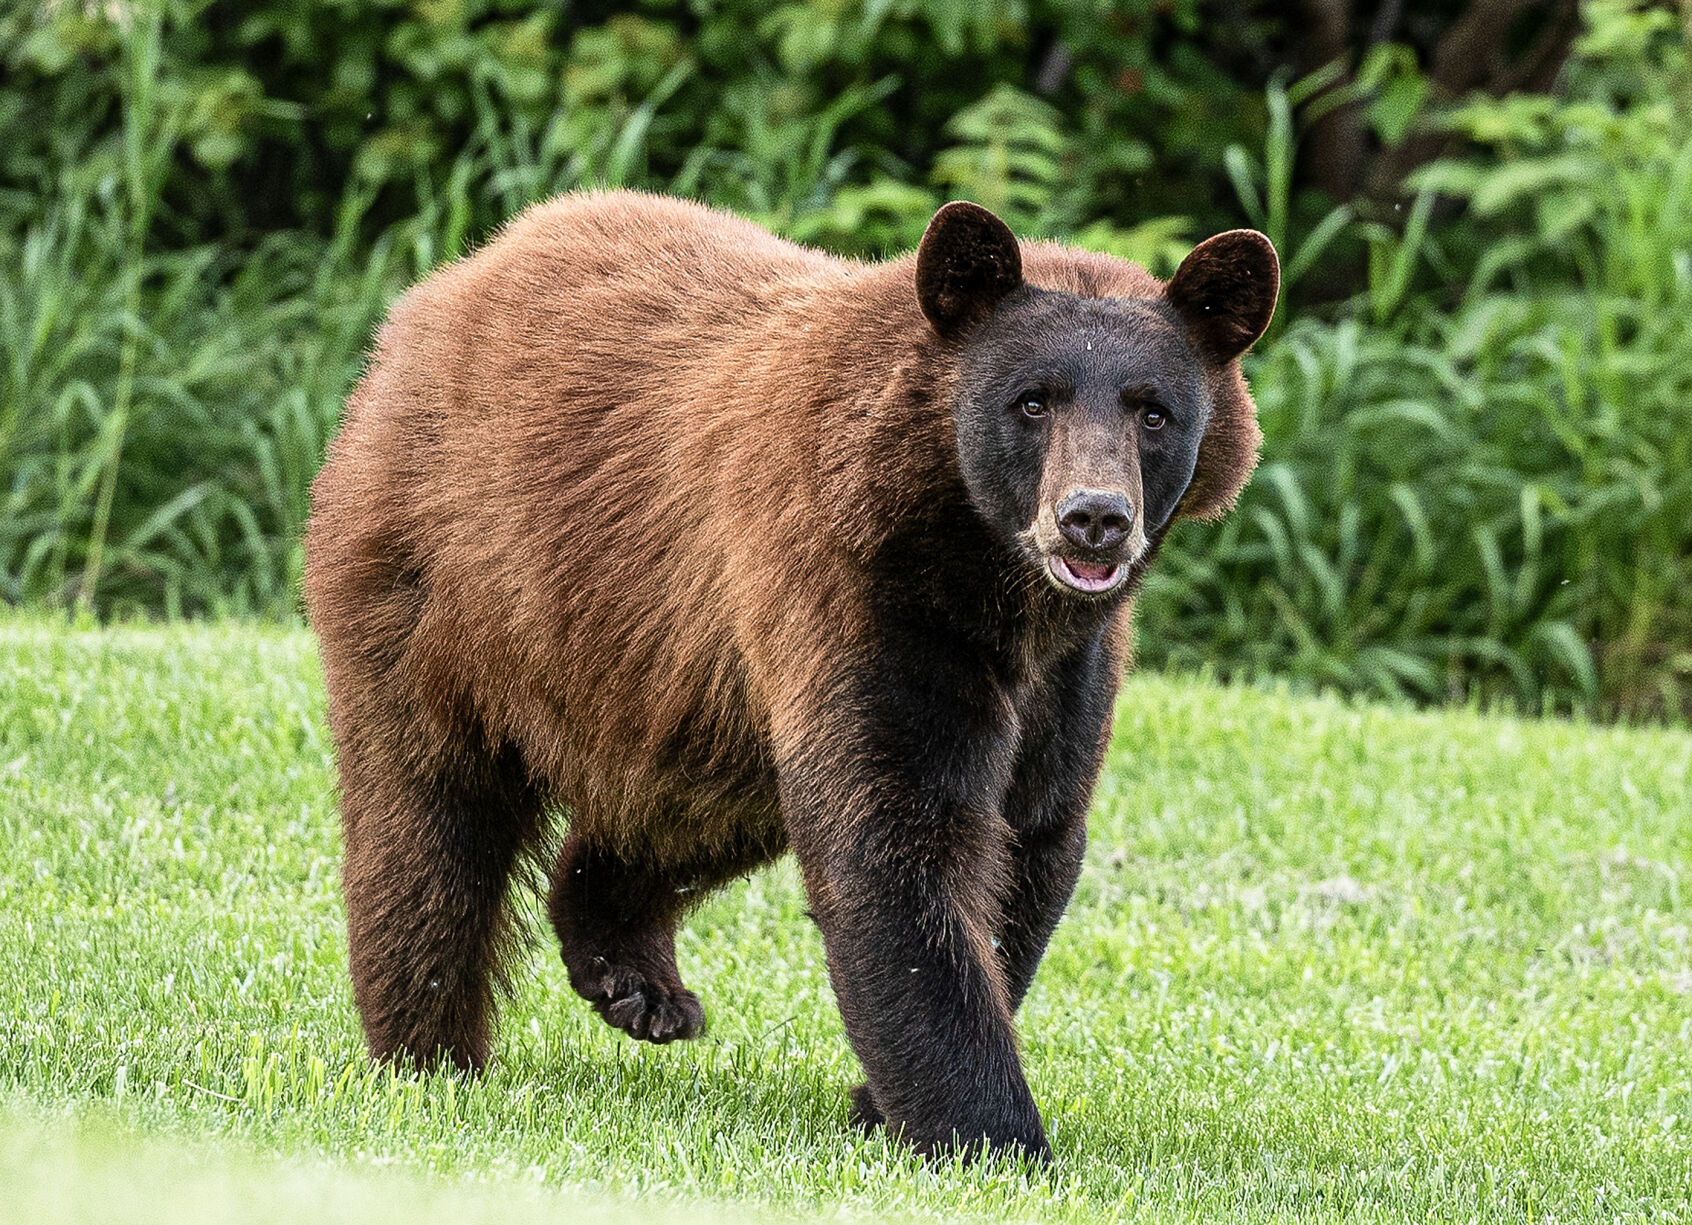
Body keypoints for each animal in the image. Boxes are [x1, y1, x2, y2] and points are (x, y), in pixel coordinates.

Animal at [307, 188, 1279, 1157]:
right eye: (1033, 400)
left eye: (1152, 410)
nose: (1094, 518)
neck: (986, 580)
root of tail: (442, 289)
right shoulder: (857, 588)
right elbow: (895, 838)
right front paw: (992, 1134)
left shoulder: (1065, 671)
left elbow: (1030, 837)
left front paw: (882, 1104)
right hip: (444, 588)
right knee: (429, 820)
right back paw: (428, 1048)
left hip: (688, 692)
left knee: (681, 806)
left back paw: (634, 978)